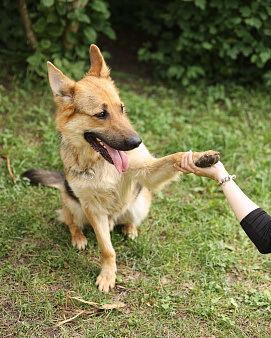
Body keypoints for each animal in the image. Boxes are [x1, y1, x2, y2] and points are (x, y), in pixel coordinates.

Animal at [22, 44, 220, 294]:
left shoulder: (147, 172)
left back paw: (130, 229)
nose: (136, 142)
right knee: (70, 222)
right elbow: (107, 249)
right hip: (72, 203)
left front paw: (199, 158)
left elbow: (172, 158)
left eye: (121, 108)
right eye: (101, 114)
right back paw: (78, 237)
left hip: (141, 201)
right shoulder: (93, 210)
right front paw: (108, 275)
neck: (99, 163)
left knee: (129, 219)